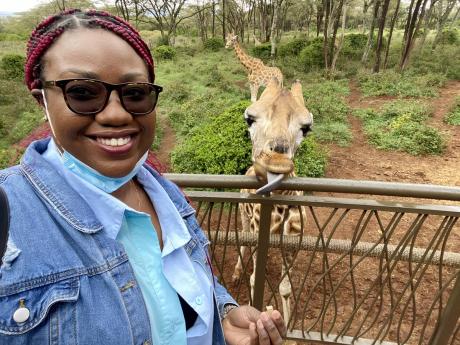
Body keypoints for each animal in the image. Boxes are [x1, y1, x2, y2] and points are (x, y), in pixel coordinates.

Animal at [232, 77, 314, 326]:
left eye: (306, 127)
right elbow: (253, 280)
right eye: (249, 118)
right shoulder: (257, 233)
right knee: (243, 238)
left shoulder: (293, 242)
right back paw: (236, 274)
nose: (276, 159)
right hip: (243, 214)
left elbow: (286, 288)